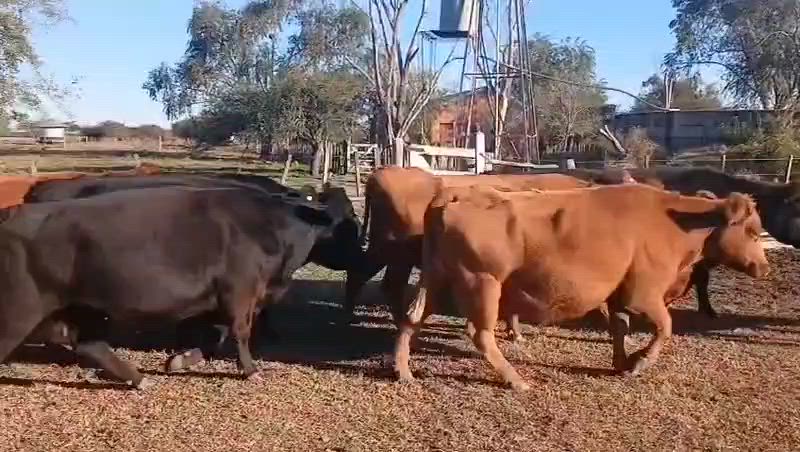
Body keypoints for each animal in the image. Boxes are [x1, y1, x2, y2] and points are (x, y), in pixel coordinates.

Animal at [0, 184, 362, 388]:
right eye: (348, 219)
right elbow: (240, 331)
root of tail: (15, 212)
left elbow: (216, 336)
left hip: (83, 306)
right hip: (21, 308)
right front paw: (250, 370)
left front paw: (180, 361)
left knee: (90, 345)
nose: (360, 251)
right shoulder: (241, 290)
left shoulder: (223, 297)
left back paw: (138, 379)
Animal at [393, 183, 770, 391]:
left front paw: (622, 363)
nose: (764, 267)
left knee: (412, 318)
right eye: (752, 232)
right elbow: (666, 327)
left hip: (436, 278)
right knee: (480, 334)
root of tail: (455, 192)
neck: (674, 222)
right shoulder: (644, 294)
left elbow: (620, 328)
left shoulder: (619, 295)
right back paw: (516, 380)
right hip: (483, 283)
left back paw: (403, 371)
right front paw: (640, 363)